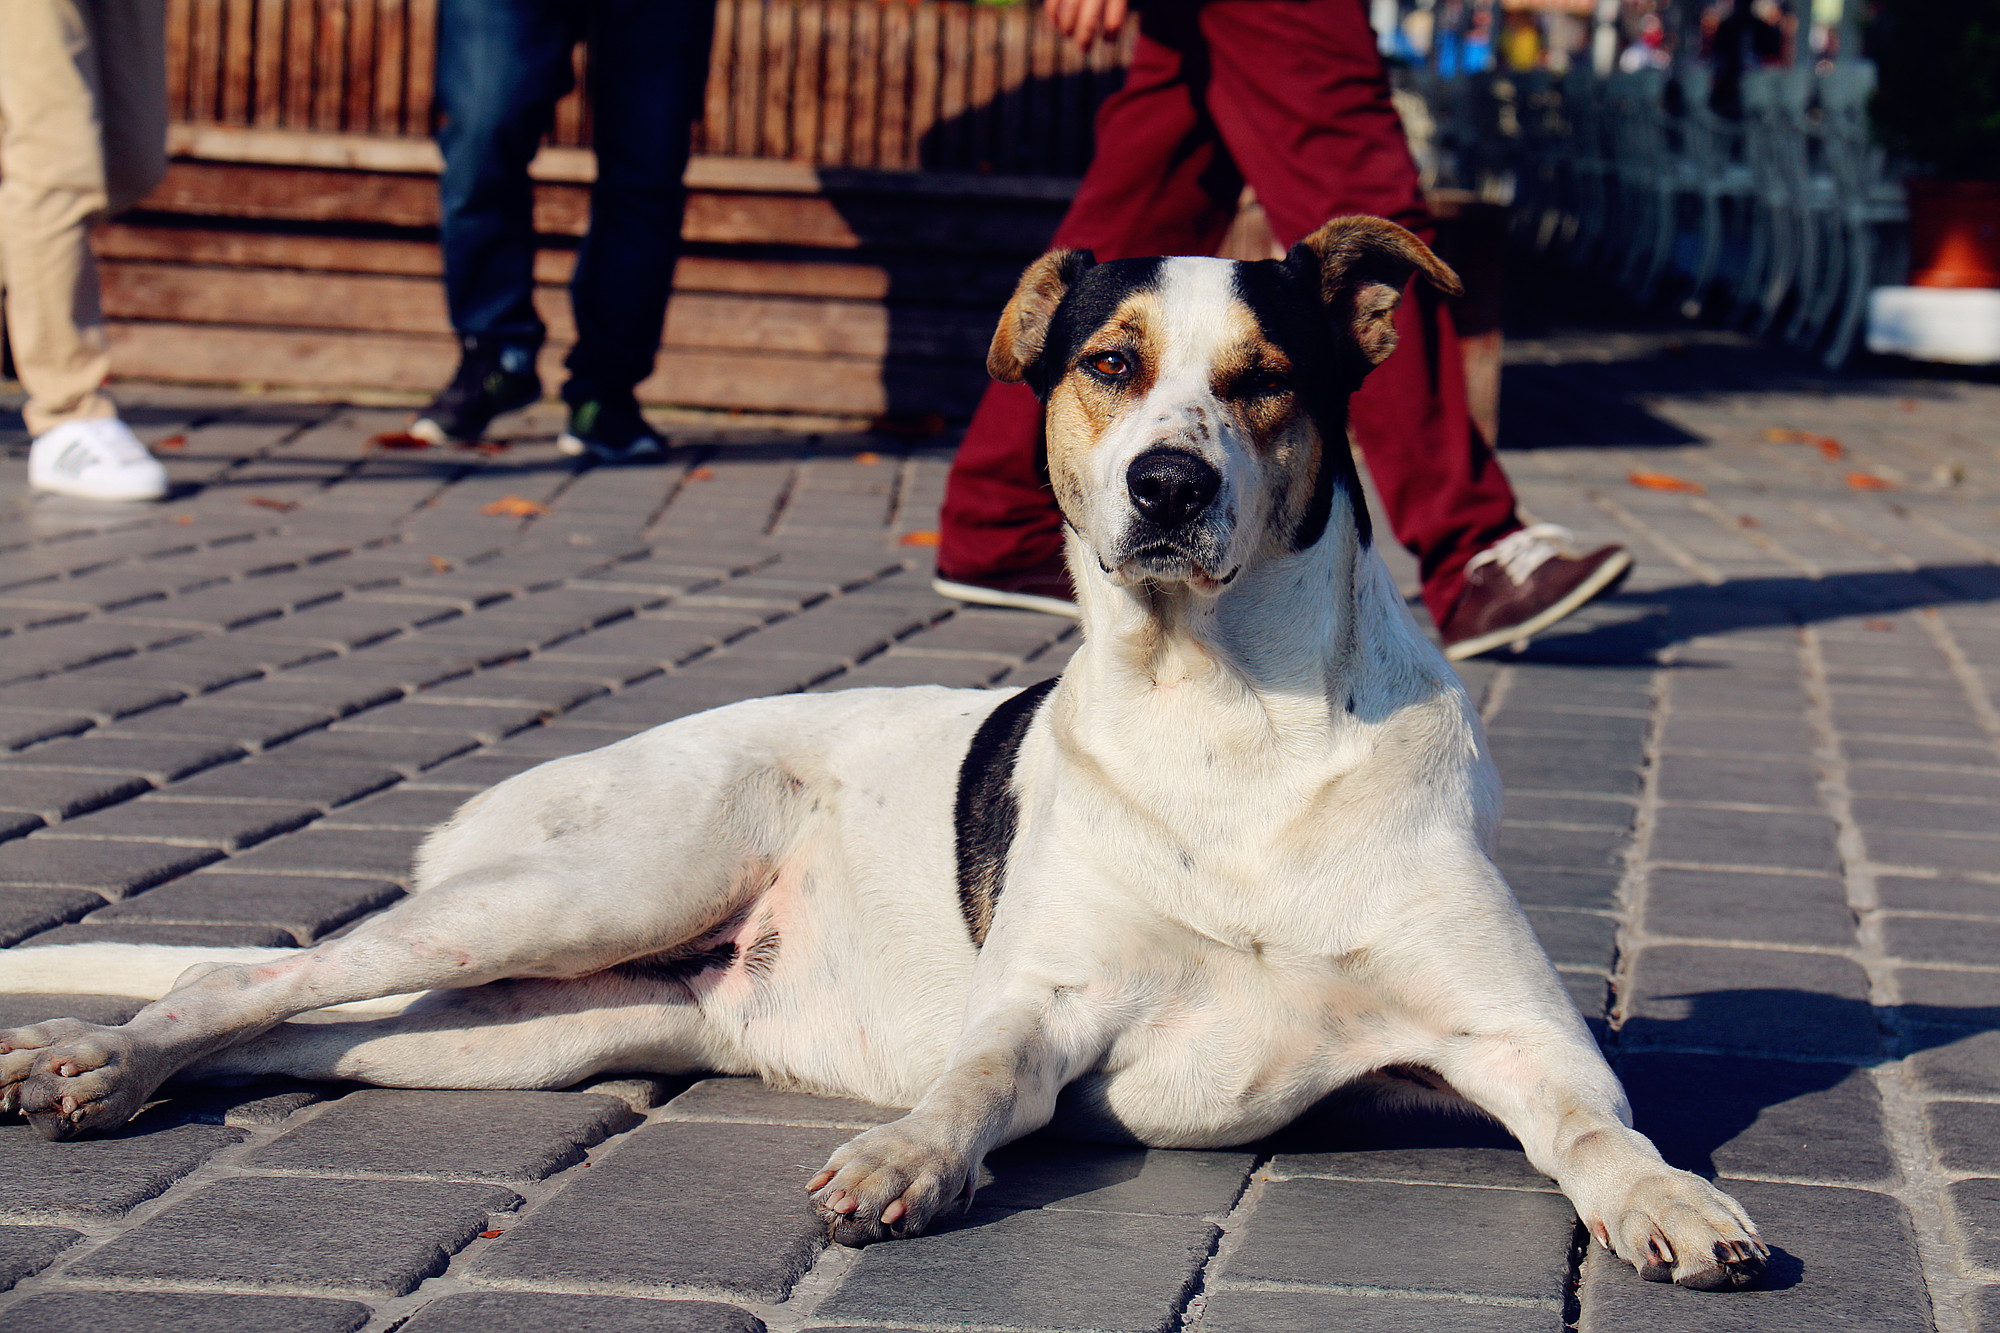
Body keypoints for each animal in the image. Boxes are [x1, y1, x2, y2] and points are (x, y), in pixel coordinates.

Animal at [0, 218, 1768, 1288]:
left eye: (1264, 383)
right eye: (1109, 366)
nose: (1171, 485)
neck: (1227, 719)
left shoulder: (1516, 1037)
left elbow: (1603, 1125)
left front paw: (1673, 1197)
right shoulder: (1042, 1010)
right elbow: (974, 1079)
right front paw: (909, 1152)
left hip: (531, 1030)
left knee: (306, 1032)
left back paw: (107, 1068)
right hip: (584, 890)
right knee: (246, 978)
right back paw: (102, 1058)